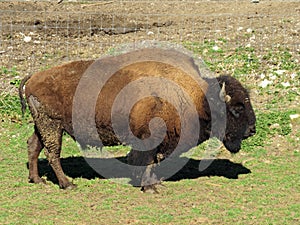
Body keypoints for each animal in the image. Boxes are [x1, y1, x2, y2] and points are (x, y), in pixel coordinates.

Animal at [18, 48, 255, 191]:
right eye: (236, 109)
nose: (252, 130)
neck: (198, 97)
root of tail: (34, 77)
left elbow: (151, 162)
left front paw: (154, 183)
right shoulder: (150, 139)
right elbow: (146, 161)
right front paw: (149, 187)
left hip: (43, 125)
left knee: (33, 145)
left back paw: (37, 179)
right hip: (52, 125)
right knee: (52, 153)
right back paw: (67, 184)